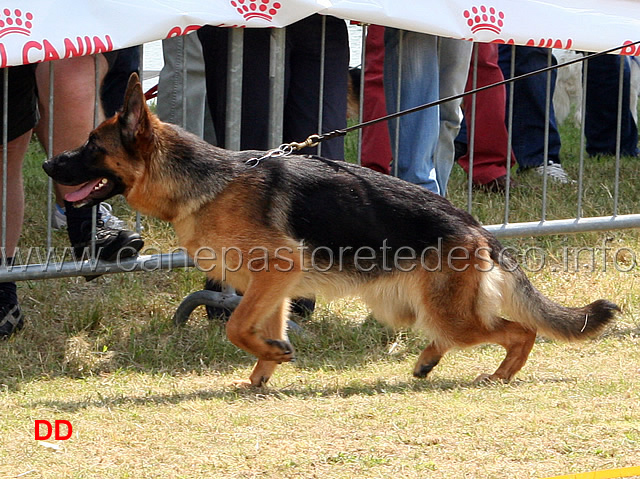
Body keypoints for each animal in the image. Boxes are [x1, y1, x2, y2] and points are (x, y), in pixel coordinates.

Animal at [41, 76, 620, 390]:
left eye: (92, 146)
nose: (48, 164)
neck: (207, 182)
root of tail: (476, 226)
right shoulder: (272, 287)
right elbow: (259, 329)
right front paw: (264, 370)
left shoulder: (276, 270)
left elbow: (237, 328)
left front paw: (270, 358)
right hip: (405, 307)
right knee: (467, 333)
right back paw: (429, 360)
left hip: (447, 313)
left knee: (518, 332)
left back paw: (497, 376)